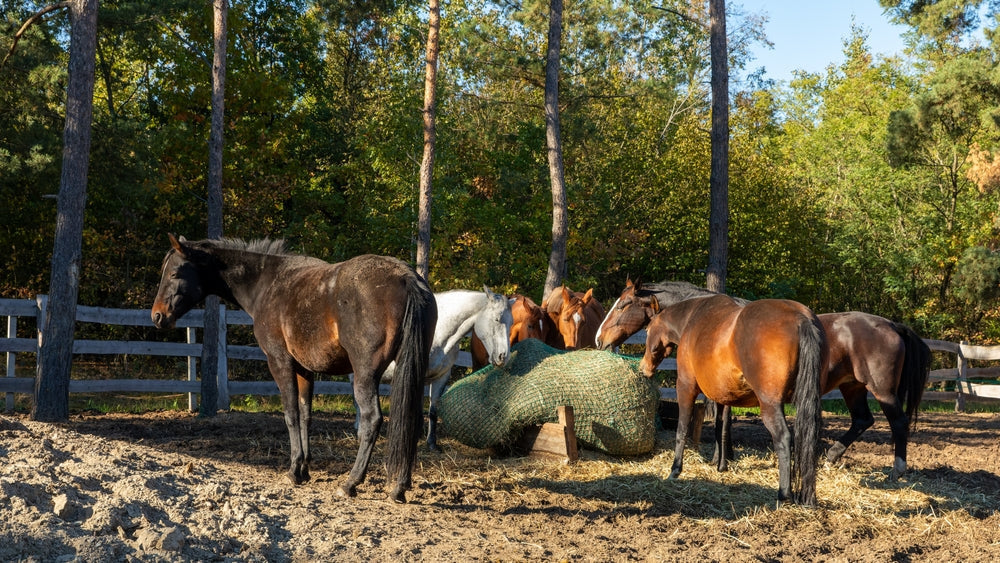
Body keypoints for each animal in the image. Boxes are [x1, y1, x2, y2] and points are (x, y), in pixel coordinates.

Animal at [152, 234, 436, 503]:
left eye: (175, 273)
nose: (157, 316)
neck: (265, 283)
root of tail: (406, 277)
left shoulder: (280, 362)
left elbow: (290, 415)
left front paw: (293, 470)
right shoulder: (304, 370)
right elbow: (306, 415)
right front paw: (305, 469)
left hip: (365, 375)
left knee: (371, 420)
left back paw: (350, 483)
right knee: (412, 419)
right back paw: (399, 486)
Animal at [358, 286, 513, 451]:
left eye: (511, 323)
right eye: (497, 319)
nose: (503, 356)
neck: (439, 330)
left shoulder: (441, 377)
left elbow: (433, 411)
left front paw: (431, 443)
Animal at [597, 278, 930, 480]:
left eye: (623, 304)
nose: (600, 339)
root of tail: (892, 325)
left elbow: (713, 423)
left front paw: (712, 462)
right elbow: (723, 421)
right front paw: (722, 460)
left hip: (883, 391)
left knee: (898, 424)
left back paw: (897, 470)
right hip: (853, 388)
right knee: (862, 420)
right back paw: (833, 455)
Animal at [638, 282, 826, 506]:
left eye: (648, 330)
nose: (643, 368)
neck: (693, 316)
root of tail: (800, 317)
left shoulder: (685, 387)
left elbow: (681, 429)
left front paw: (675, 471)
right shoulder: (722, 396)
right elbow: (722, 427)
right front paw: (721, 466)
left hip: (770, 405)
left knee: (783, 438)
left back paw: (783, 494)